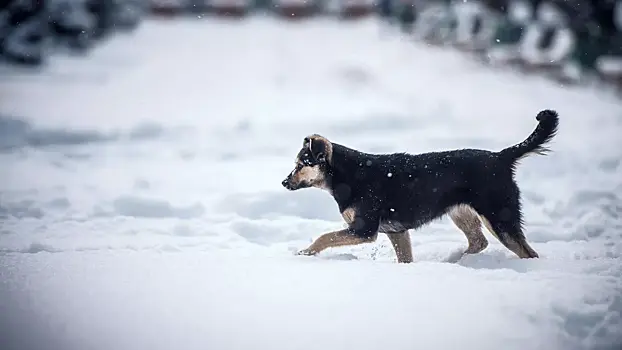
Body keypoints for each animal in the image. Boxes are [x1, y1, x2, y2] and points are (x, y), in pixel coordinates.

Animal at [286, 109, 564, 262]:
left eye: (301, 164)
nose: (284, 182)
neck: (347, 175)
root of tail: (501, 157)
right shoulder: (397, 232)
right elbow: (405, 259)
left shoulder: (364, 230)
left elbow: (324, 237)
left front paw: (304, 254)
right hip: (461, 213)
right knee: (479, 242)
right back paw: (458, 261)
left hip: (500, 217)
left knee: (527, 253)